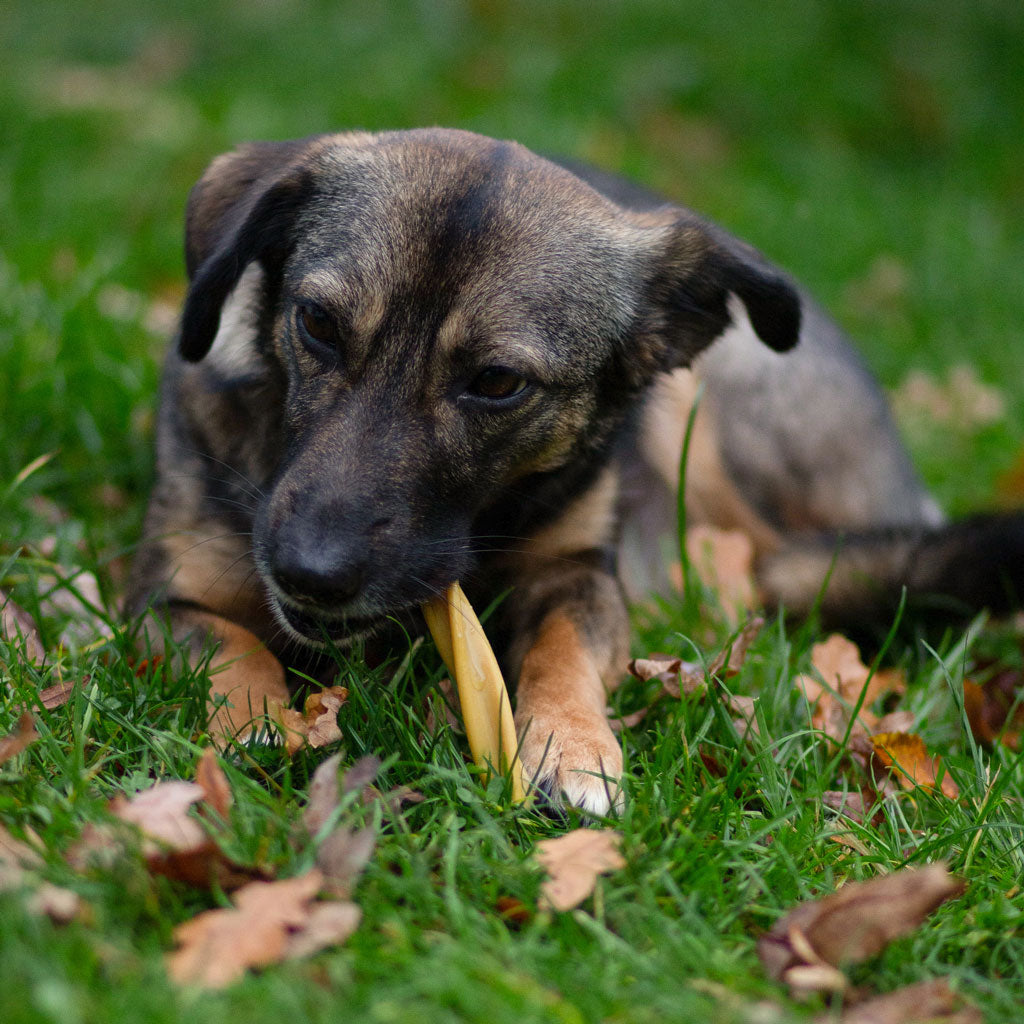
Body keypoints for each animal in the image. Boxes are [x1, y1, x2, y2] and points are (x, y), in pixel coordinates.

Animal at [128, 130, 1024, 815]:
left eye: (497, 382)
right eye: (315, 322)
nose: (308, 574)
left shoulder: (579, 572)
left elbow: (564, 648)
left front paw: (572, 745)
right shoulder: (163, 595)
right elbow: (230, 641)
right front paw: (254, 721)